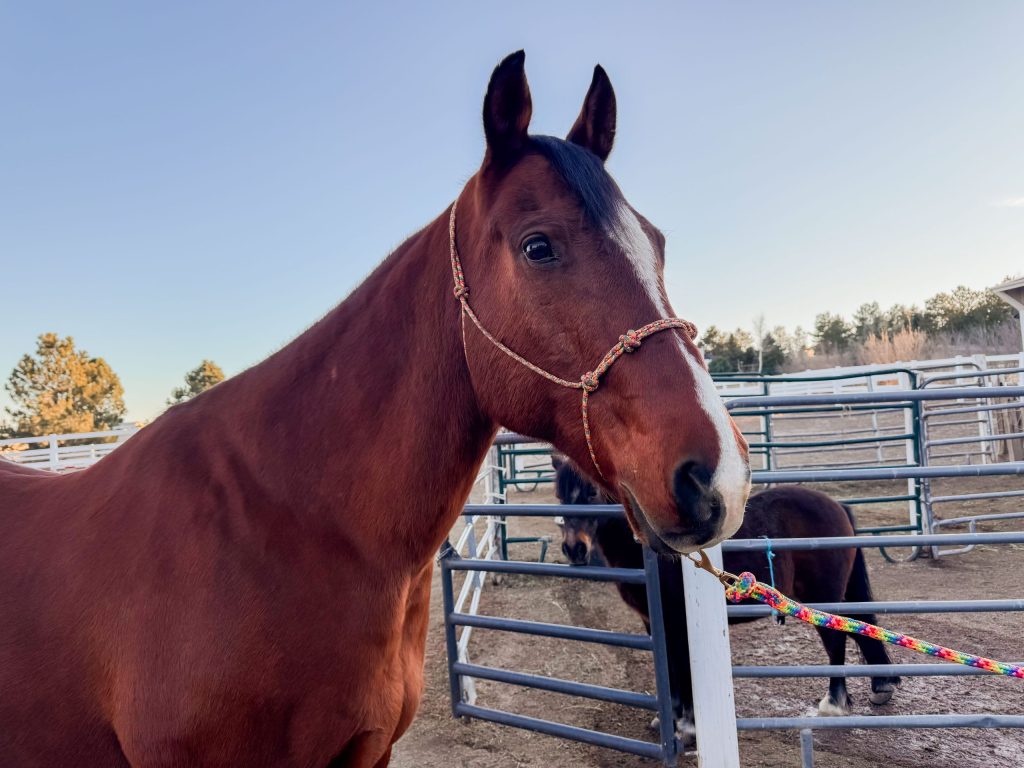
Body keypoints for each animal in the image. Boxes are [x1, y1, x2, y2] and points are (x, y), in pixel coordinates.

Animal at [553, 458, 899, 738]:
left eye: (591, 494)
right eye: (559, 495)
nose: (574, 549)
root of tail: (838, 506)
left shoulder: (677, 621)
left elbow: (683, 669)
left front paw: (688, 725)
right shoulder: (655, 622)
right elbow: (670, 670)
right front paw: (668, 720)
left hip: (823, 599)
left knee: (836, 643)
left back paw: (834, 703)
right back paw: (880, 686)